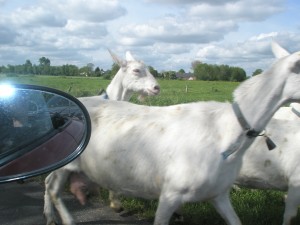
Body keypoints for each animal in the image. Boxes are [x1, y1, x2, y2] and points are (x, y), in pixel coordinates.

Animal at [43, 42, 300, 225]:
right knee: (53, 189)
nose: (156, 87)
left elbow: (235, 220)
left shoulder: (218, 193)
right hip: (63, 162)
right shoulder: (170, 193)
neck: (227, 129)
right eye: (136, 70)